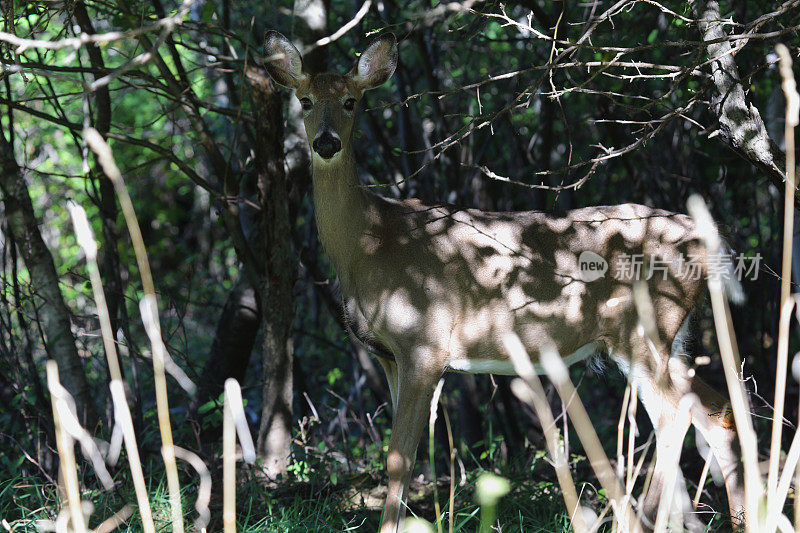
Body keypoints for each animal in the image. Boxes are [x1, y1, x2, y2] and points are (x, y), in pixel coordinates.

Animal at [266, 31, 748, 528]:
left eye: (351, 101)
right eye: (304, 100)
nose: (325, 143)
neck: (371, 241)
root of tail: (708, 238)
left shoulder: (424, 344)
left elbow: (399, 459)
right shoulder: (388, 356)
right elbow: (402, 457)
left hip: (643, 327)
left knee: (677, 414)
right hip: (671, 336)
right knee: (716, 410)